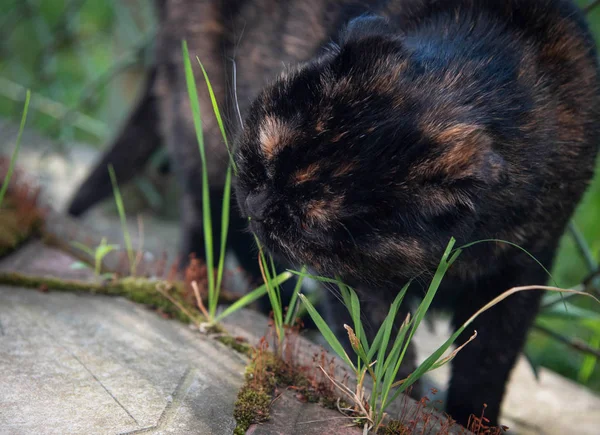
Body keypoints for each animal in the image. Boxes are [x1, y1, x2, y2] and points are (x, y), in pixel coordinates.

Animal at [233, 0, 600, 430]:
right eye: (264, 155)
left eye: (310, 220)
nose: (257, 206)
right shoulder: (361, 280)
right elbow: (378, 337)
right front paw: (395, 399)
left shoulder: (524, 266)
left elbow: (490, 359)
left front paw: (474, 420)